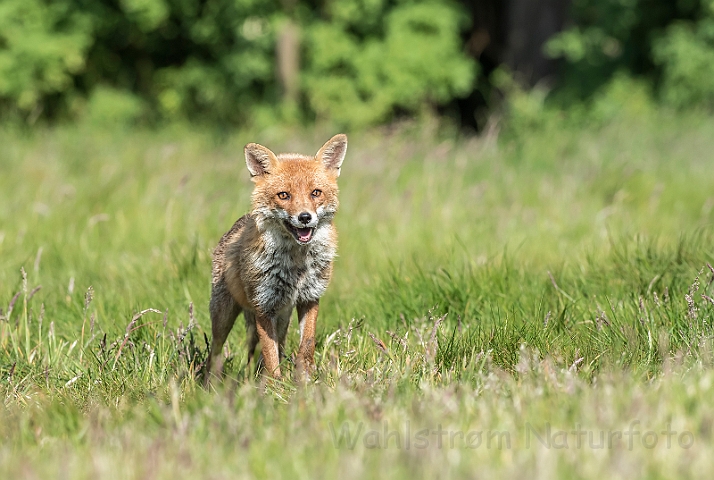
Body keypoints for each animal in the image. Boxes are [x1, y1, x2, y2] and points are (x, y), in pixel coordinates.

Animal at [206, 133, 348, 380]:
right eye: (284, 195)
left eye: (315, 193)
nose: (304, 217)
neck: (296, 265)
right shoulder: (263, 305)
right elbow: (271, 357)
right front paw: (274, 386)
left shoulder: (310, 297)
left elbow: (307, 342)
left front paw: (304, 375)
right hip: (224, 316)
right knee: (214, 353)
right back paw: (209, 383)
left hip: (282, 317)